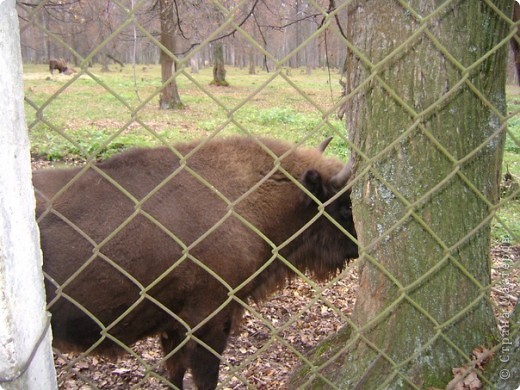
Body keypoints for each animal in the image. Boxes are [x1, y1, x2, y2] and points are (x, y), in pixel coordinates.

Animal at [32, 136, 358, 388]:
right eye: (344, 207)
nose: (359, 248)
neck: (245, 199)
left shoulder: (173, 326)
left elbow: (175, 373)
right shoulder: (209, 321)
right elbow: (205, 377)